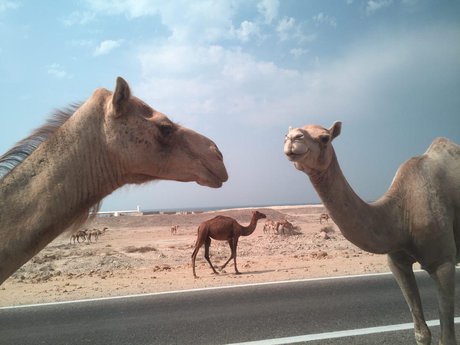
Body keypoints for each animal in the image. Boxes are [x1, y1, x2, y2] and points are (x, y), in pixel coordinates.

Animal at [284, 121, 460, 344]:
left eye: (324, 138)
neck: (402, 214)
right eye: (285, 135)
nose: (293, 139)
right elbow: (421, 333)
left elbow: (447, 338)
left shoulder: (443, 262)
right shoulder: (397, 262)